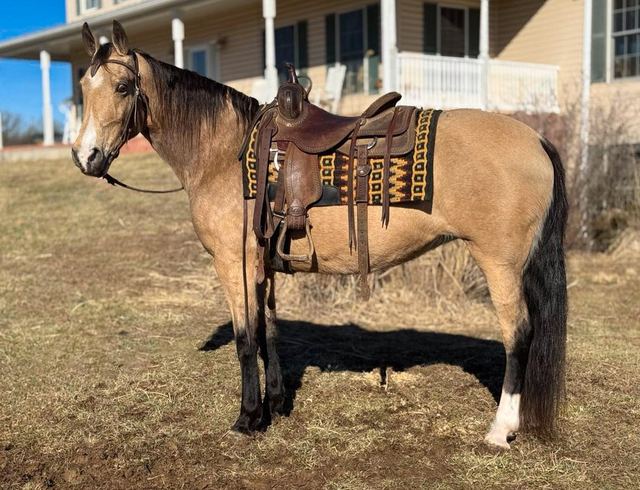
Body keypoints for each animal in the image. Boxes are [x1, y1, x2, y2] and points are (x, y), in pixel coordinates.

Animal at [72, 21, 567, 449]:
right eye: (82, 88)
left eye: (122, 88)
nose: (85, 156)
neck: (225, 153)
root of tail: (536, 139)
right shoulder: (262, 267)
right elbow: (269, 332)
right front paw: (275, 403)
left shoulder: (233, 264)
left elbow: (245, 341)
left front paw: (247, 418)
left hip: (499, 262)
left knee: (518, 334)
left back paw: (501, 429)